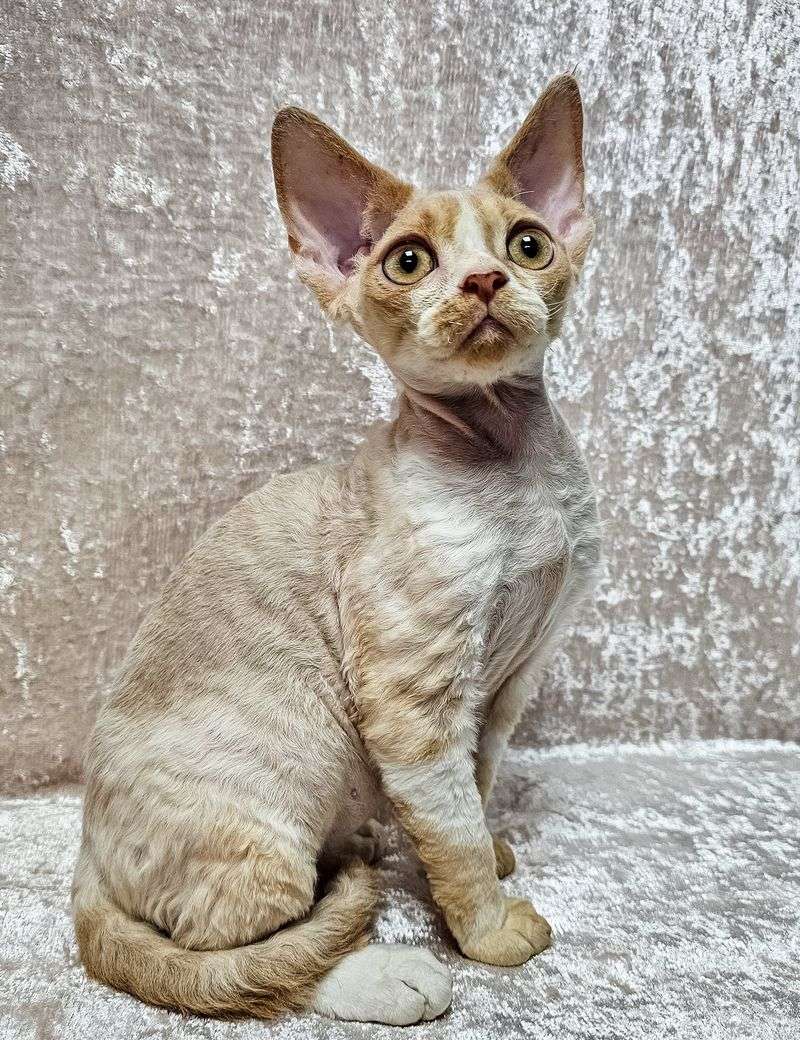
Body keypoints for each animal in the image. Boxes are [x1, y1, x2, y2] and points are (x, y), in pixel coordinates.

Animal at [71, 73, 599, 1023]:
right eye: (409, 262)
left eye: (529, 244)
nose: (485, 279)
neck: (516, 466)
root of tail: (86, 852)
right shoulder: (412, 700)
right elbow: (451, 829)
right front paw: (488, 928)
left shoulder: (510, 681)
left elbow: (475, 786)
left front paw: (488, 853)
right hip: (292, 776)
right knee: (241, 958)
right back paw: (391, 973)